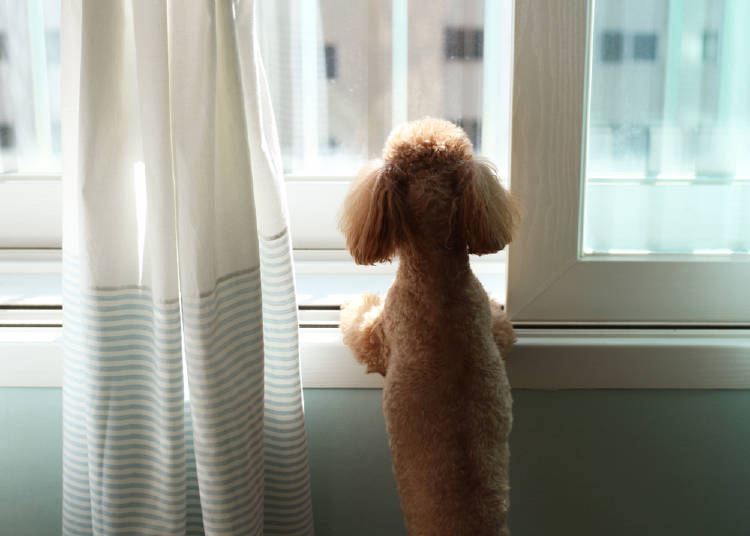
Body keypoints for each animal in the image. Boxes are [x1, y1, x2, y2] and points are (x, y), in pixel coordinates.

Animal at [342, 118, 524, 536]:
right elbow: (504, 329)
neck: (439, 276)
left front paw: (352, 305)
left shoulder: (382, 333)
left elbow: (360, 328)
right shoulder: (492, 324)